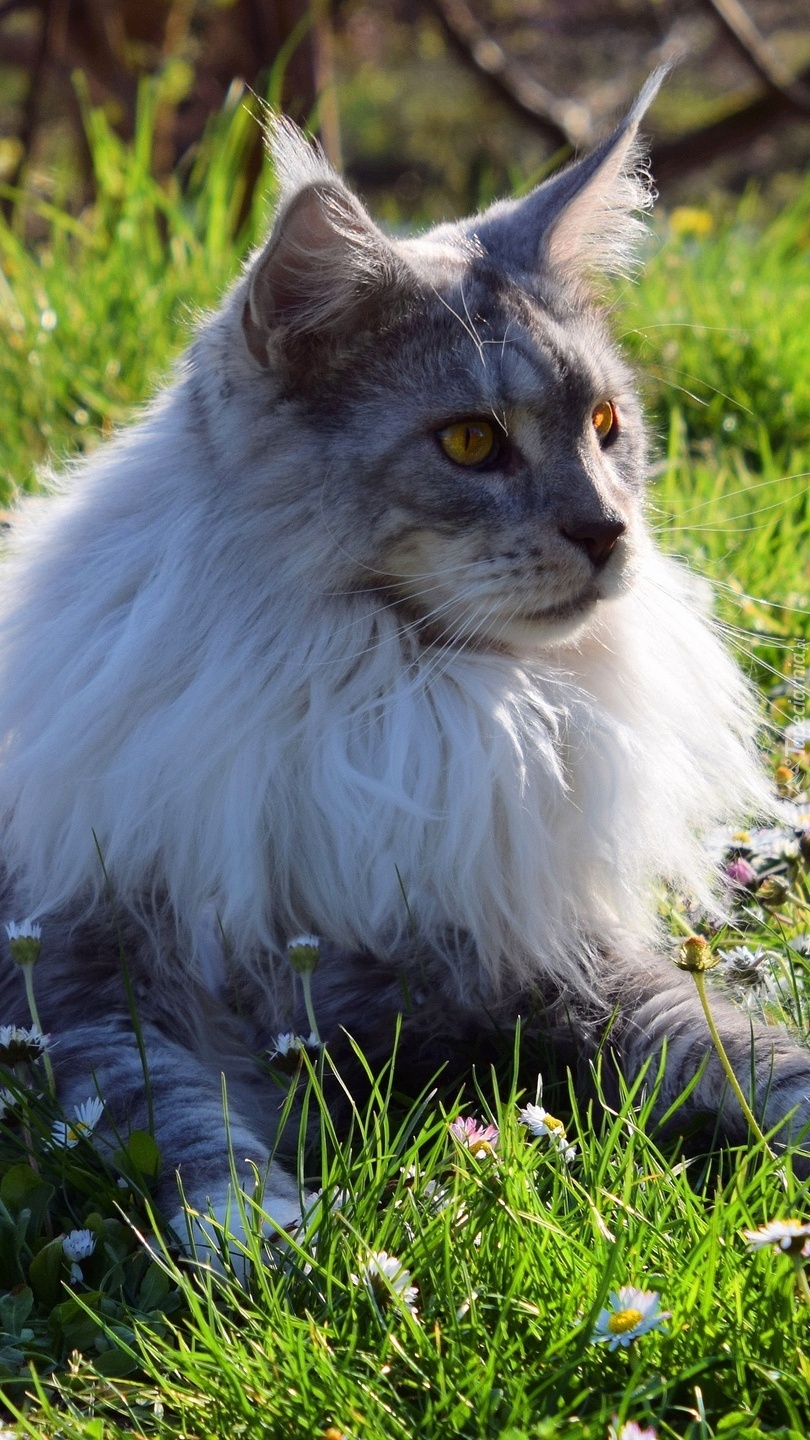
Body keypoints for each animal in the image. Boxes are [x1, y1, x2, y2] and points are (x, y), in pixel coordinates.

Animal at [1, 73, 807, 1255]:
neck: (393, 696)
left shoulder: (557, 959)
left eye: (606, 424)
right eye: (471, 443)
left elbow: (748, 1057)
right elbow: (187, 1124)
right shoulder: (83, 991)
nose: (609, 531)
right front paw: (269, 1241)